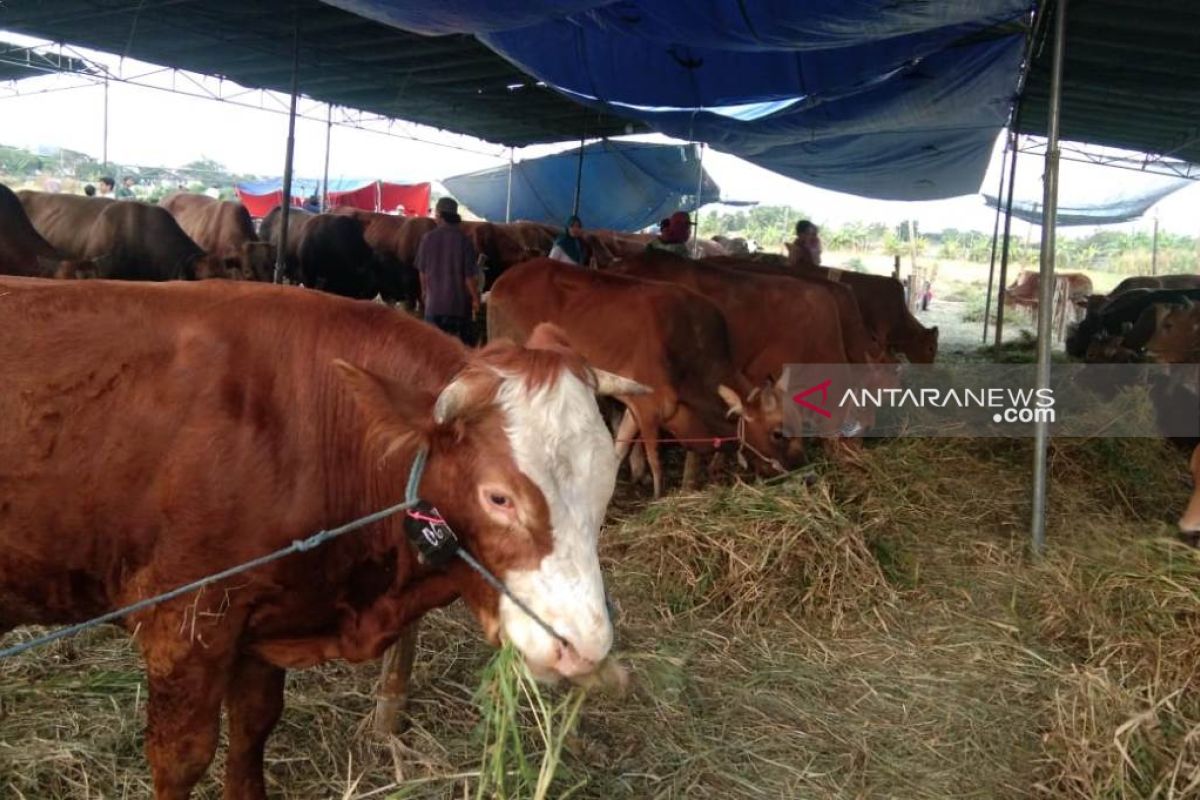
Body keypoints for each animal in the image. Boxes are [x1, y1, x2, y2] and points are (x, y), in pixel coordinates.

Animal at [0, 277, 643, 800]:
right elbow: (180, 758)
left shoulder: (259, 621)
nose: (585, 645)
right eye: (499, 497)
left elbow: (253, 729)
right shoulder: (183, 622)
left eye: (606, 482)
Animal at [487, 257, 796, 494]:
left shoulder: (635, 406)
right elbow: (655, 462)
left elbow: (619, 449)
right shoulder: (651, 408)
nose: (793, 470)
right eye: (778, 433)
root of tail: (502, 282)